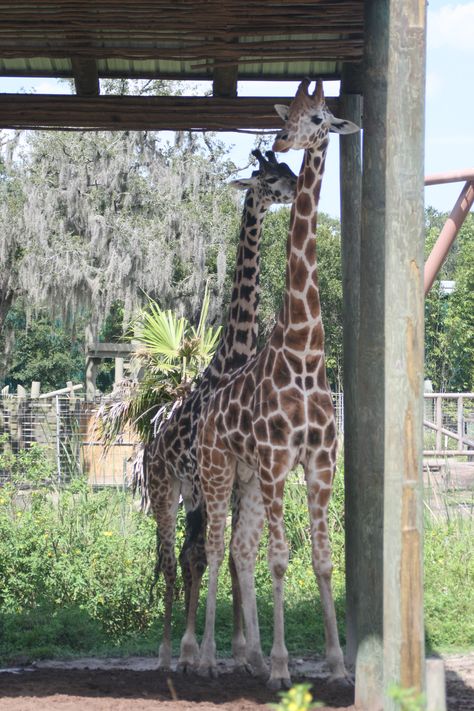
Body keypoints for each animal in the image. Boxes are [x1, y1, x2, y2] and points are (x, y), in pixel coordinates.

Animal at [143, 152, 296, 672]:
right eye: (268, 177)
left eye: (288, 168)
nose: (296, 187)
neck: (232, 358)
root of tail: (150, 446)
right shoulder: (209, 478)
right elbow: (209, 554)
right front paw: (205, 650)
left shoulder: (231, 481)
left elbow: (231, 555)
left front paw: (244, 650)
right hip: (167, 491)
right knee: (173, 558)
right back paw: (169, 652)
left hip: (192, 493)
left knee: (188, 554)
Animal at [194, 79, 358, 688]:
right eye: (285, 114)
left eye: (318, 116)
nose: (285, 140)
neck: (305, 351)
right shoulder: (274, 461)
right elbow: (280, 559)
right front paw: (284, 668)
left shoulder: (320, 461)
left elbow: (322, 559)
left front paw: (337, 664)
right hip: (218, 472)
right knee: (214, 547)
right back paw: (206, 658)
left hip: (244, 479)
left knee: (237, 548)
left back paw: (242, 655)